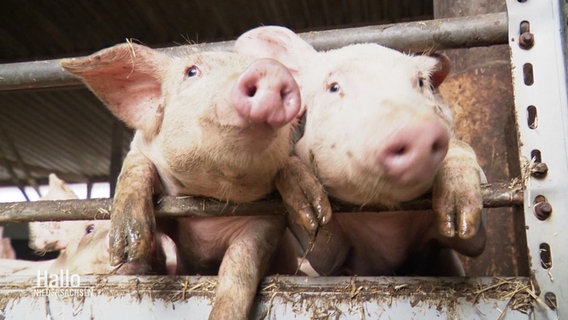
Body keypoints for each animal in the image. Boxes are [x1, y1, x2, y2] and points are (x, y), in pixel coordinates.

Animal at [60, 43, 330, 320]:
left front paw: (315, 217)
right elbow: (136, 166)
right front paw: (128, 248)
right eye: (191, 71)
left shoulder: (266, 223)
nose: (271, 68)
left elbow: (240, 265)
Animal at [237, 26, 486, 278]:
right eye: (334, 87)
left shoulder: (464, 244)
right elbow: (322, 243)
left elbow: (474, 242)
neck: (389, 224)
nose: (416, 130)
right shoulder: (328, 259)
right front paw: (309, 203)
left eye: (420, 82)